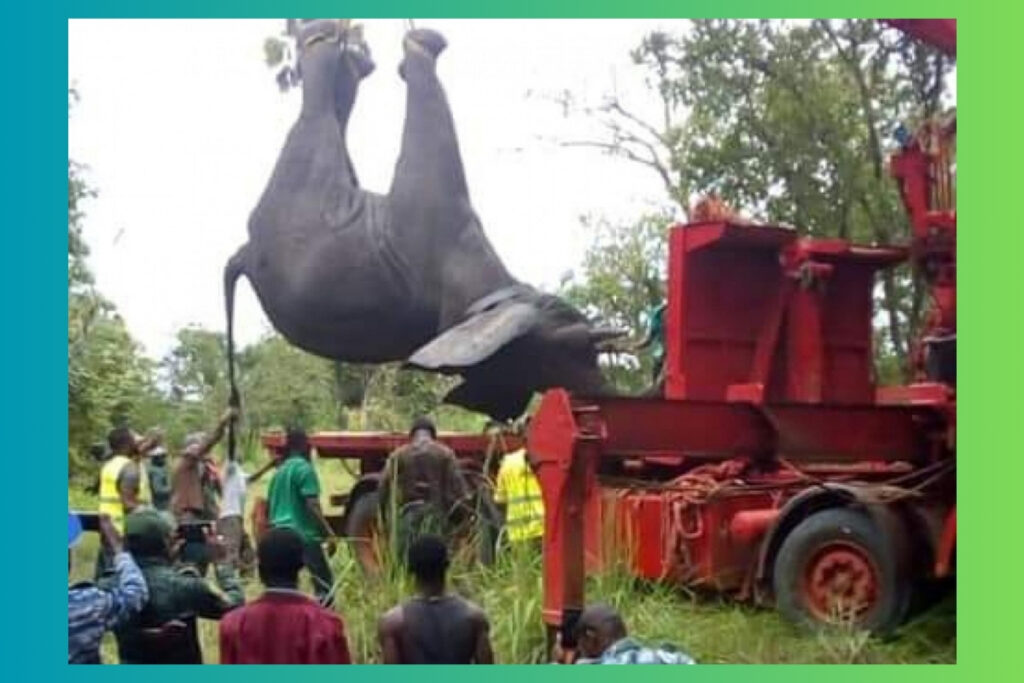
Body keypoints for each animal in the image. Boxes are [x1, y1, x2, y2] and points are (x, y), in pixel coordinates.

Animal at [225, 18, 618, 428]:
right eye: (572, 345)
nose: (608, 395)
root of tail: (243, 256)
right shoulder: (433, 192)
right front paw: (421, 43)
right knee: (318, 105)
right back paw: (329, 38)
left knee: (329, 103)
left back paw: (349, 59)